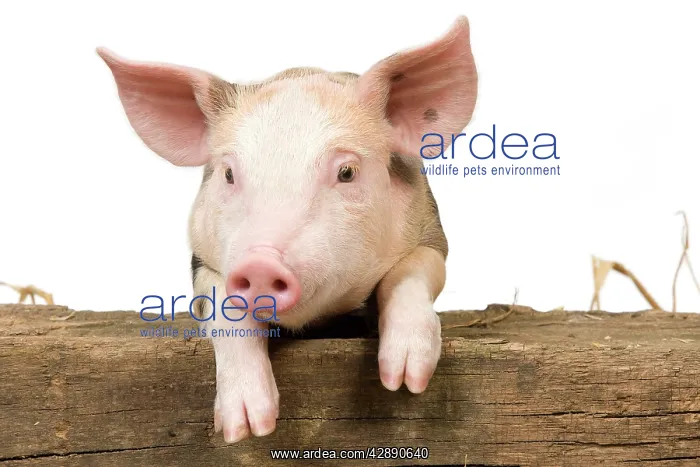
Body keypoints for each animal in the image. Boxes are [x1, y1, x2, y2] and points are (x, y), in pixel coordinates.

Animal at [97, 16, 477, 443]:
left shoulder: (431, 230)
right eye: (229, 173)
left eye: (347, 172)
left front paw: (405, 380)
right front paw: (247, 429)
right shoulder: (201, 260)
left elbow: (412, 270)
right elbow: (223, 306)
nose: (262, 263)